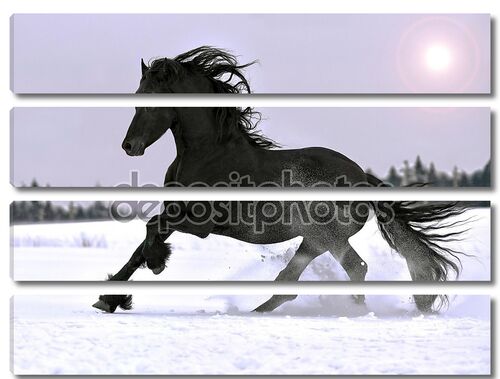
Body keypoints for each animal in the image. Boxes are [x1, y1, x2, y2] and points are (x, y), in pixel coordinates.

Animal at [93, 46, 468, 314]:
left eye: (151, 102)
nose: (129, 146)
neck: (205, 154)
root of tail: (364, 178)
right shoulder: (176, 210)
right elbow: (140, 246)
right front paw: (110, 299)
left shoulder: (200, 222)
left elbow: (150, 231)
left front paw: (155, 265)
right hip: (314, 240)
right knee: (304, 276)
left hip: (326, 236)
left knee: (354, 267)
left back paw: (351, 312)